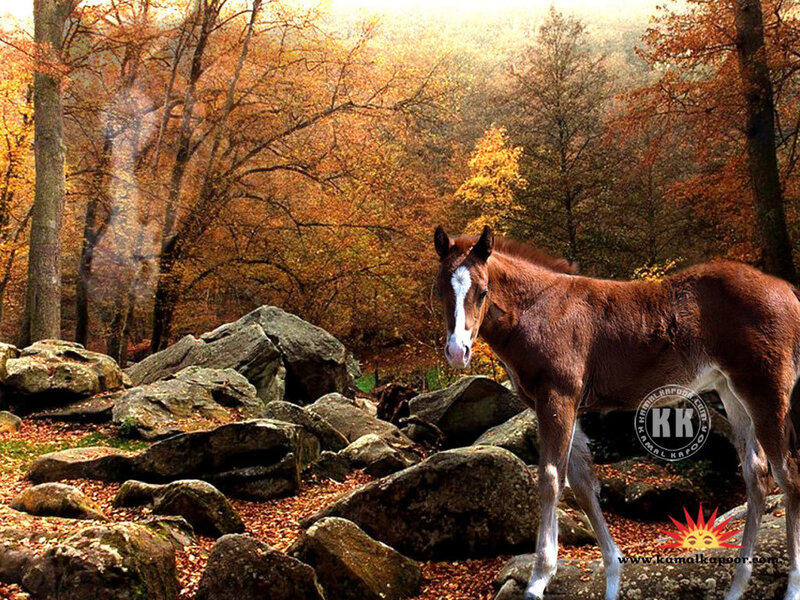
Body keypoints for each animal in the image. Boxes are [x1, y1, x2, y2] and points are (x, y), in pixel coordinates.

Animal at [433, 224, 800, 600]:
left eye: (483, 291)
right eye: (439, 289)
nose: (457, 352)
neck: (539, 308)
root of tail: (788, 291)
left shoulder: (557, 398)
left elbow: (551, 478)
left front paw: (538, 579)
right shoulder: (565, 406)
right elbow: (583, 484)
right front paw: (611, 577)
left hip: (767, 393)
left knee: (788, 477)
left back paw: (792, 588)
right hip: (731, 393)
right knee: (756, 473)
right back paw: (737, 586)